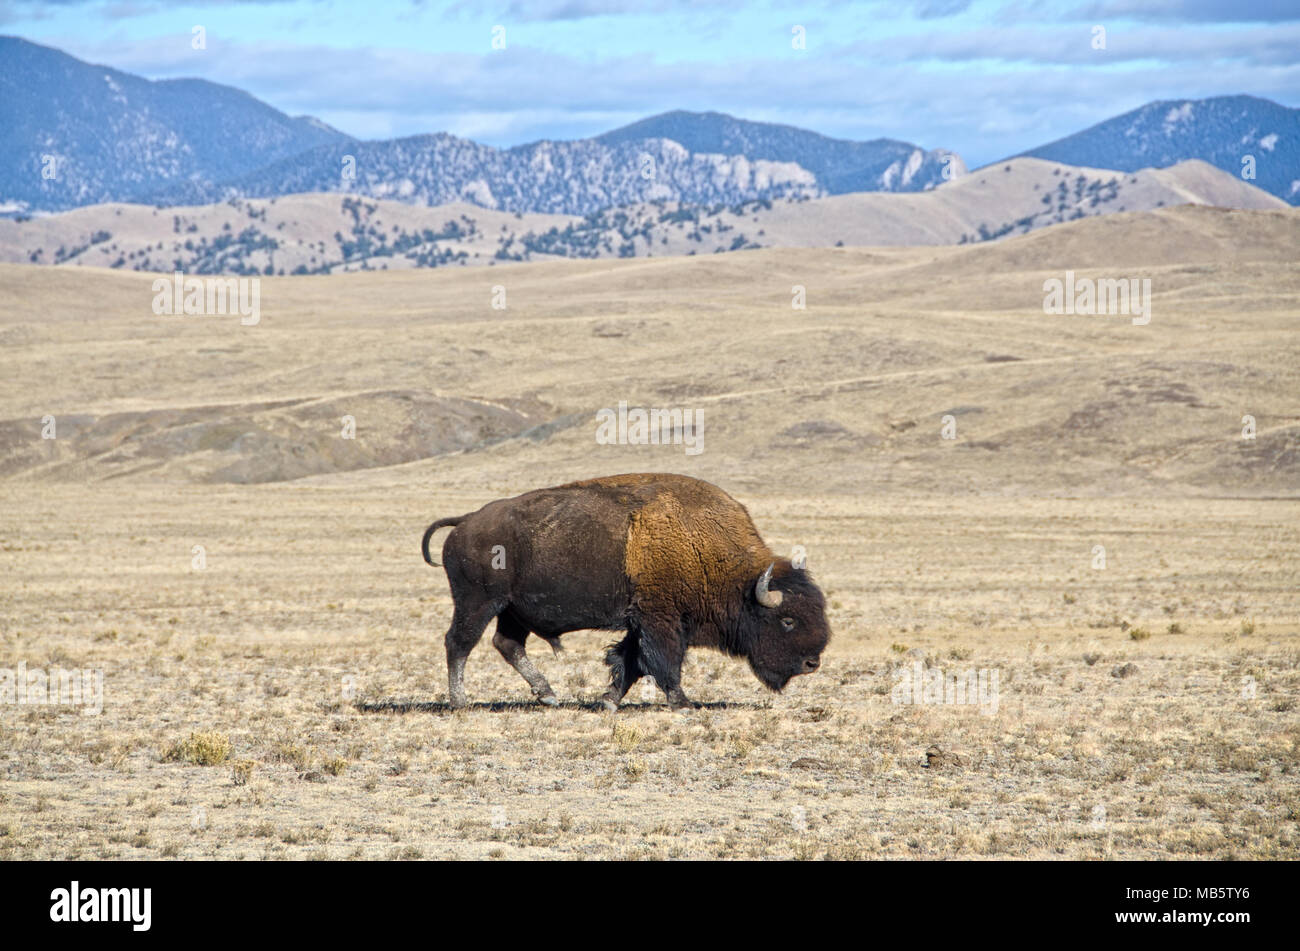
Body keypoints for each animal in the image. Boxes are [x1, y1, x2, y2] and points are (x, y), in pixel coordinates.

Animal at [426, 472, 832, 711]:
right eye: (788, 620)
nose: (811, 664)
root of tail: (465, 522)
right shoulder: (660, 620)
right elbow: (662, 662)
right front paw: (683, 703)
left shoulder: (642, 622)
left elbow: (629, 661)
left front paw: (607, 701)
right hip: (478, 602)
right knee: (459, 642)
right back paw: (461, 702)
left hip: (513, 611)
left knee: (507, 644)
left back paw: (549, 695)